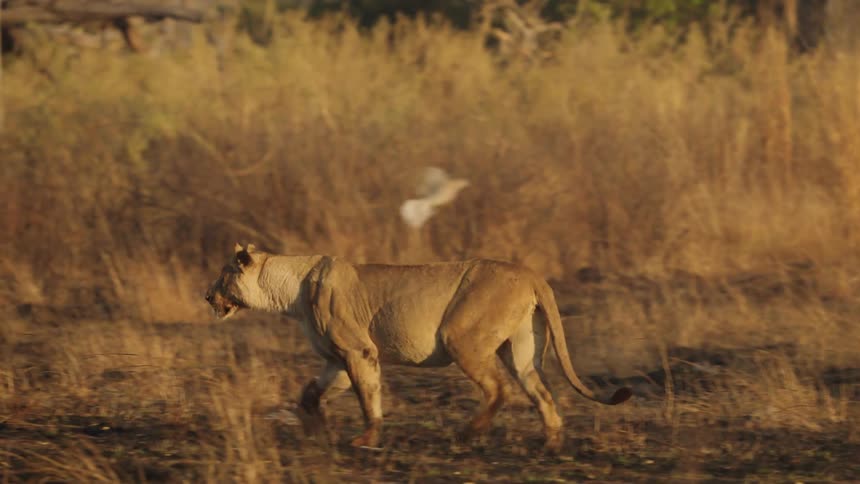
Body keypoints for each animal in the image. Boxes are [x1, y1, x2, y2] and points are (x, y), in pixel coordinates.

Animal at [205, 243, 632, 451]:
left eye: (223, 274)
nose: (206, 295)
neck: (287, 291)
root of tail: (531, 274)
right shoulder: (337, 359)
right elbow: (310, 393)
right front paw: (316, 432)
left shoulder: (359, 350)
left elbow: (368, 398)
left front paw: (366, 440)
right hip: (522, 349)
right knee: (541, 392)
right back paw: (551, 445)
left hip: (461, 336)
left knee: (499, 389)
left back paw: (466, 435)